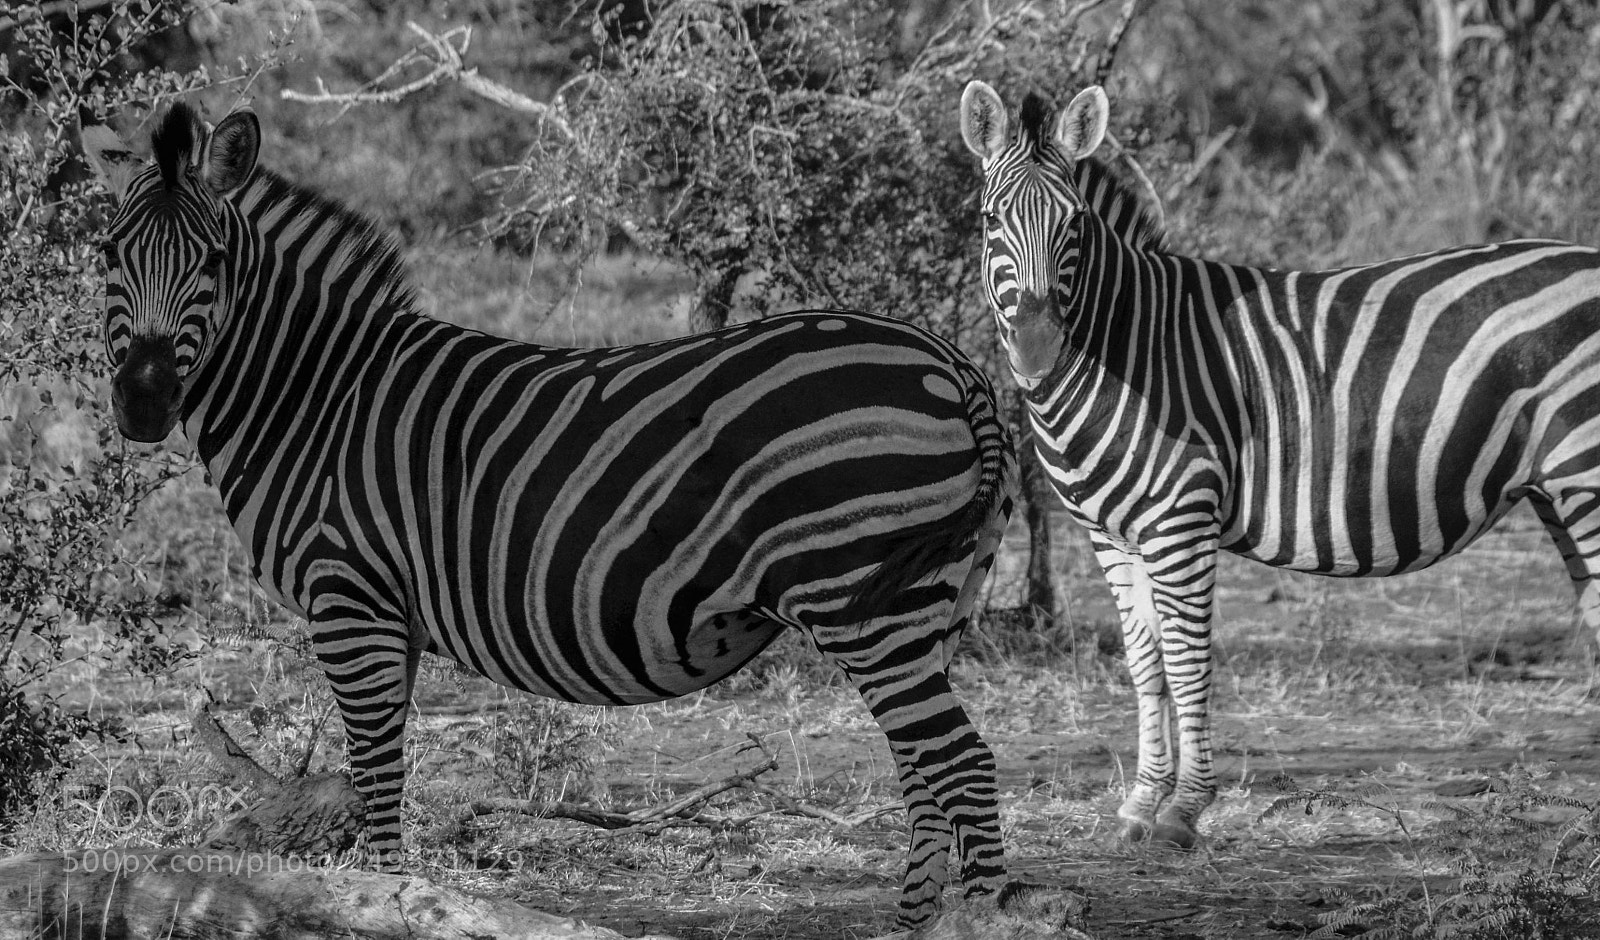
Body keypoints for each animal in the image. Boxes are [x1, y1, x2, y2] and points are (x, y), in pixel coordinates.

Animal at [84, 102, 1020, 927]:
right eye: (108, 254)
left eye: (212, 261)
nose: (143, 403)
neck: (315, 396)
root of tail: (954, 366)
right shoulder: (390, 612)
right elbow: (377, 771)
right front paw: (388, 898)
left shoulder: (349, 596)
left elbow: (376, 771)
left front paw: (381, 902)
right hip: (932, 601)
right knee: (925, 770)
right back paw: (915, 923)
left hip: (866, 601)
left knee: (963, 765)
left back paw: (973, 918)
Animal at [959, 80, 1600, 850]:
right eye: (991, 219)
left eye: (1074, 224)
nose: (1035, 348)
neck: (1130, 345)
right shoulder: (1110, 535)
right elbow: (1146, 665)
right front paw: (1141, 803)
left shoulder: (1182, 518)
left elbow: (1187, 662)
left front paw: (1182, 812)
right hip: (1555, 490)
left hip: (1586, 472)